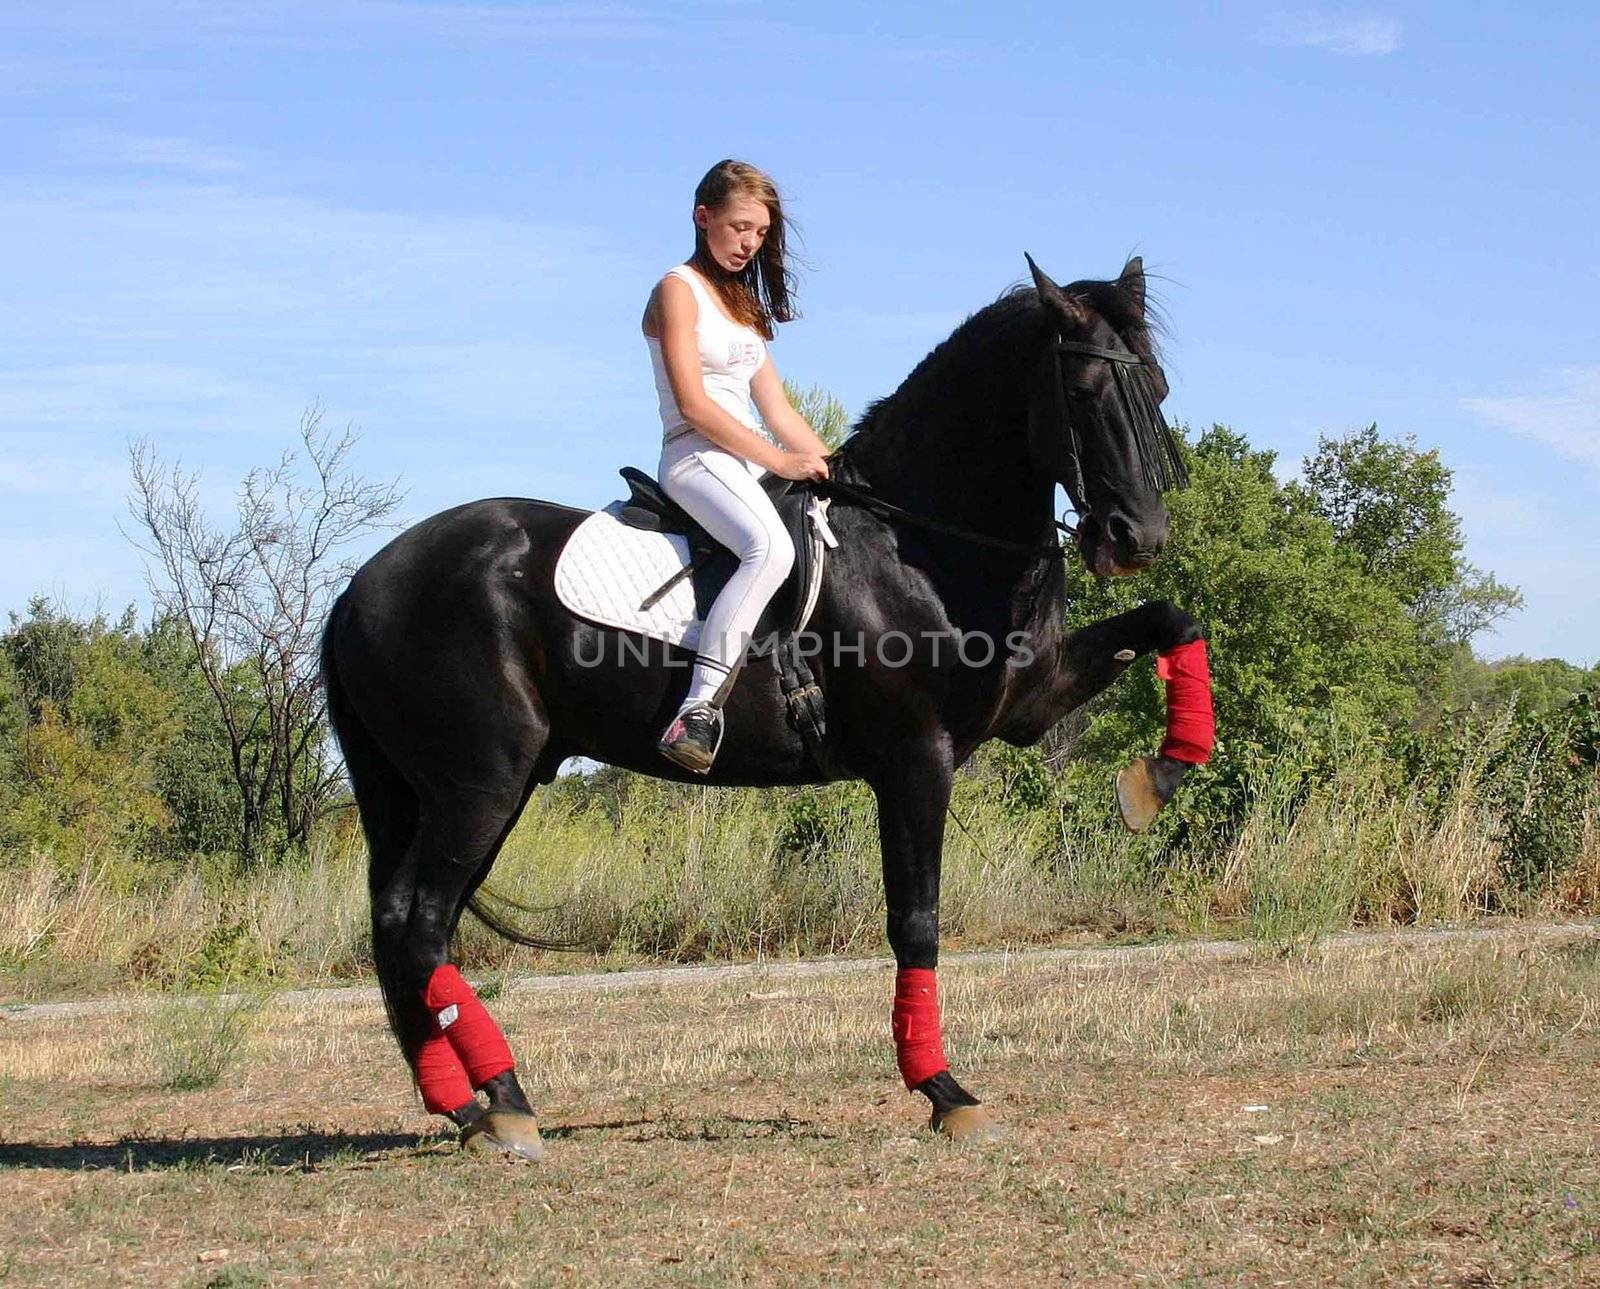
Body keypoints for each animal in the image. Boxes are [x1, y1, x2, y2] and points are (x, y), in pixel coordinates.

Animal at [321, 252, 1203, 1157]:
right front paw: (944, 1089)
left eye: (1158, 387)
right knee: (421, 919)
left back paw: (466, 1106)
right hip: (481, 783)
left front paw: (1157, 780)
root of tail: (364, 583)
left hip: (469, 789)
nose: (1137, 537)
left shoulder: (1028, 705)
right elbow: (916, 919)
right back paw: (504, 1100)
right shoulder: (915, 759)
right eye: (1086, 391)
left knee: (404, 923)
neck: (918, 544)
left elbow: (1174, 619)